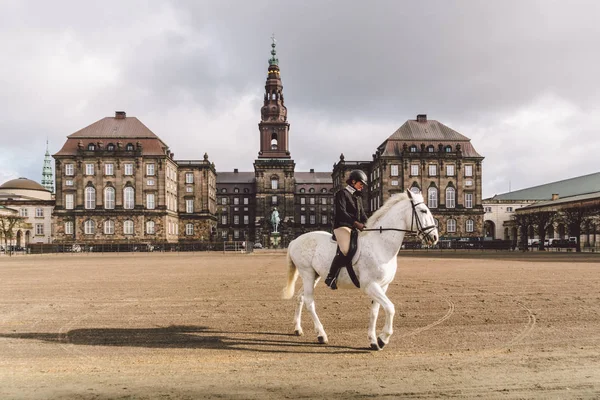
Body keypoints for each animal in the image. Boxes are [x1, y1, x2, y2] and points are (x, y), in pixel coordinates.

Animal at [278, 189, 438, 348]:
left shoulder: (382, 286)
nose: (435, 237)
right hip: (307, 274)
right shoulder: (370, 285)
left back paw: (298, 328)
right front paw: (383, 338)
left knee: (300, 297)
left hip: (314, 276)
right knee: (309, 302)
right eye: (423, 211)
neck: (380, 244)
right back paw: (321, 335)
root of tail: (295, 240)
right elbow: (390, 308)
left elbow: (375, 312)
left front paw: (373, 340)